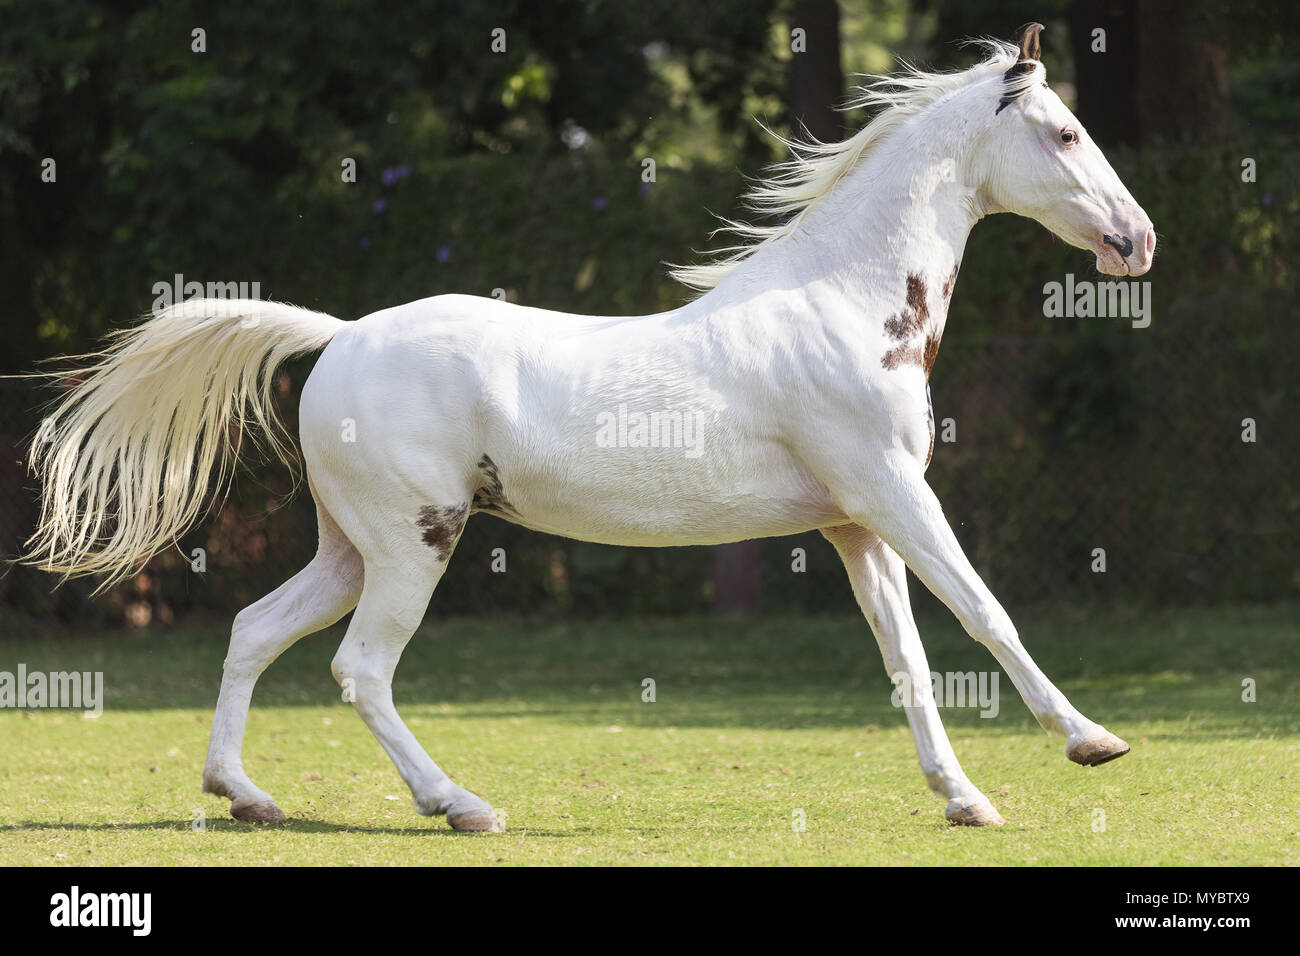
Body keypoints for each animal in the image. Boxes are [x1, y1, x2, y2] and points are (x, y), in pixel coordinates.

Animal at [22, 24, 1159, 832]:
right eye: (1064, 133)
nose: (1136, 240)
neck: (841, 304)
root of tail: (339, 336)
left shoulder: (855, 524)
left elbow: (911, 660)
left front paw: (964, 797)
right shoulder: (892, 493)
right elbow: (987, 614)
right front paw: (1091, 742)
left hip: (351, 546)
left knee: (255, 630)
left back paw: (247, 797)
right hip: (415, 543)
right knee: (361, 669)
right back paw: (462, 807)